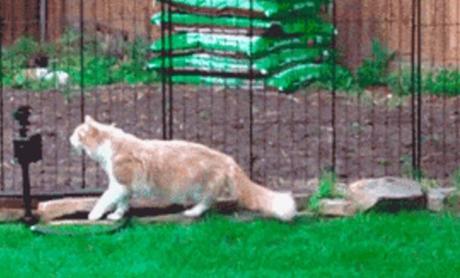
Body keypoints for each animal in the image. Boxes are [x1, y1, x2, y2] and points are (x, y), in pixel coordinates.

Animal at [70, 115, 296, 222]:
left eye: (77, 134)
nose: (69, 139)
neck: (110, 144)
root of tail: (227, 158)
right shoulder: (124, 187)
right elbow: (122, 203)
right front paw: (117, 215)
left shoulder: (118, 184)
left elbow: (104, 200)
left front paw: (94, 215)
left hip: (199, 188)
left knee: (207, 202)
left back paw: (192, 212)